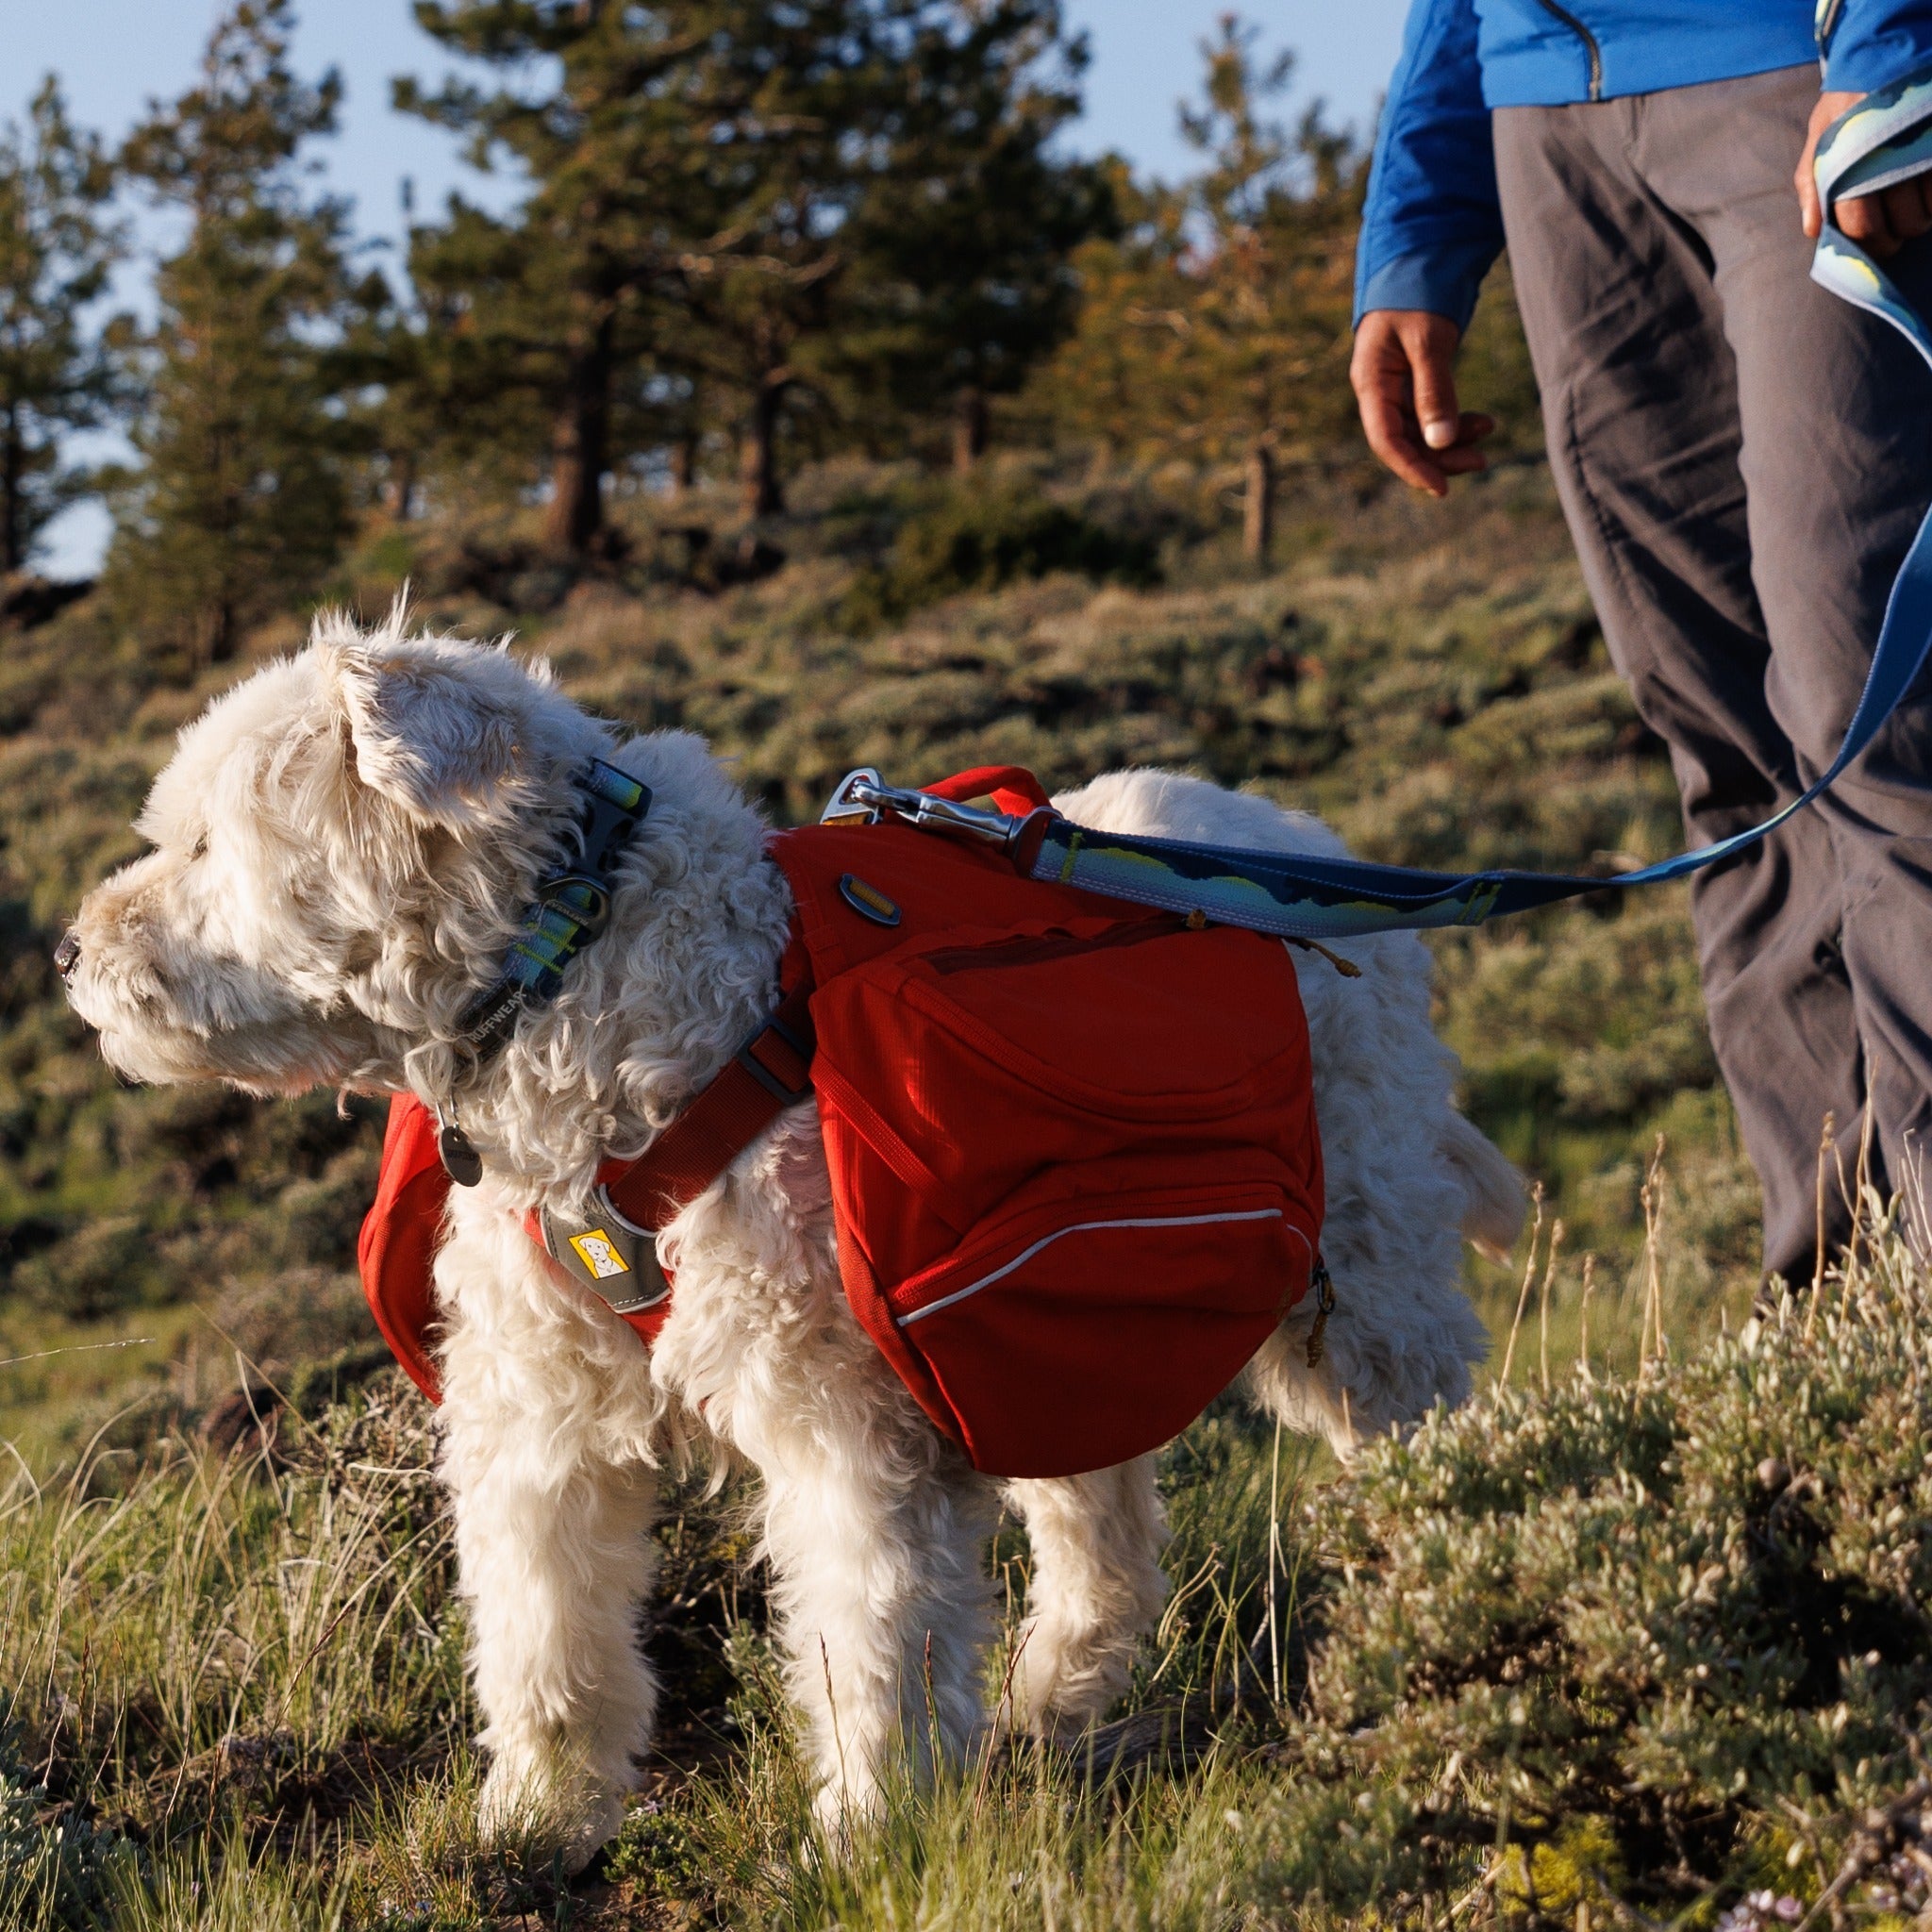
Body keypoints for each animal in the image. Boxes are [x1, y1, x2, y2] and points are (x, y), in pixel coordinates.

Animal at [60, 614, 1514, 1855]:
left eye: (206, 842)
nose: (71, 955)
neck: (579, 983)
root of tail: (1286, 832)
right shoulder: (537, 1419)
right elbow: (545, 1642)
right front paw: (536, 1825)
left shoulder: (847, 1424)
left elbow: (868, 1647)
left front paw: (867, 1836)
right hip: (1047, 1341)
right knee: (1101, 1528)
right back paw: (1053, 1702)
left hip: (1358, 1286)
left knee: (1421, 1443)